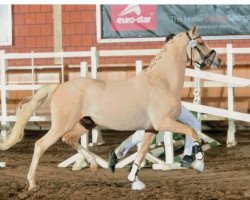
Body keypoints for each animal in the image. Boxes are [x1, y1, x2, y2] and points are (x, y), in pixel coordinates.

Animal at [0, 25, 222, 190]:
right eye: (200, 42)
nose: (218, 60)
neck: (161, 81)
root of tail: (60, 86)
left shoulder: (152, 128)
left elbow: (142, 152)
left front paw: (134, 180)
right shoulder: (164, 123)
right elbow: (192, 131)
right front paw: (198, 162)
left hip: (85, 124)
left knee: (69, 139)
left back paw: (93, 166)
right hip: (61, 125)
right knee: (40, 145)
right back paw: (32, 183)